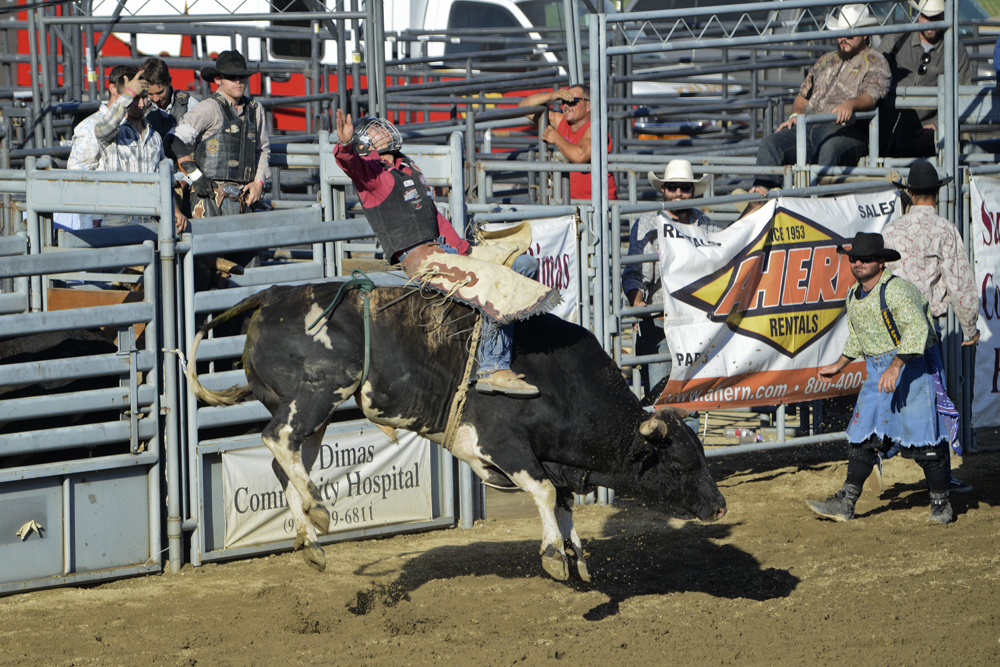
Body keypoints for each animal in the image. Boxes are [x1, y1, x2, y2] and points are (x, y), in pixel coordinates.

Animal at [188, 282, 728, 580]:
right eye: (680, 464)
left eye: (703, 455)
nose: (720, 507)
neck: (562, 384)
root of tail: (272, 295)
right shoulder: (505, 444)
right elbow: (545, 491)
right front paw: (555, 555)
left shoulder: (551, 460)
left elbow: (563, 501)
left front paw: (575, 554)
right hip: (317, 393)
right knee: (276, 440)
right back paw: (320, 513)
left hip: (313, 416)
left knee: (287, 465)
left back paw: (310, 542)